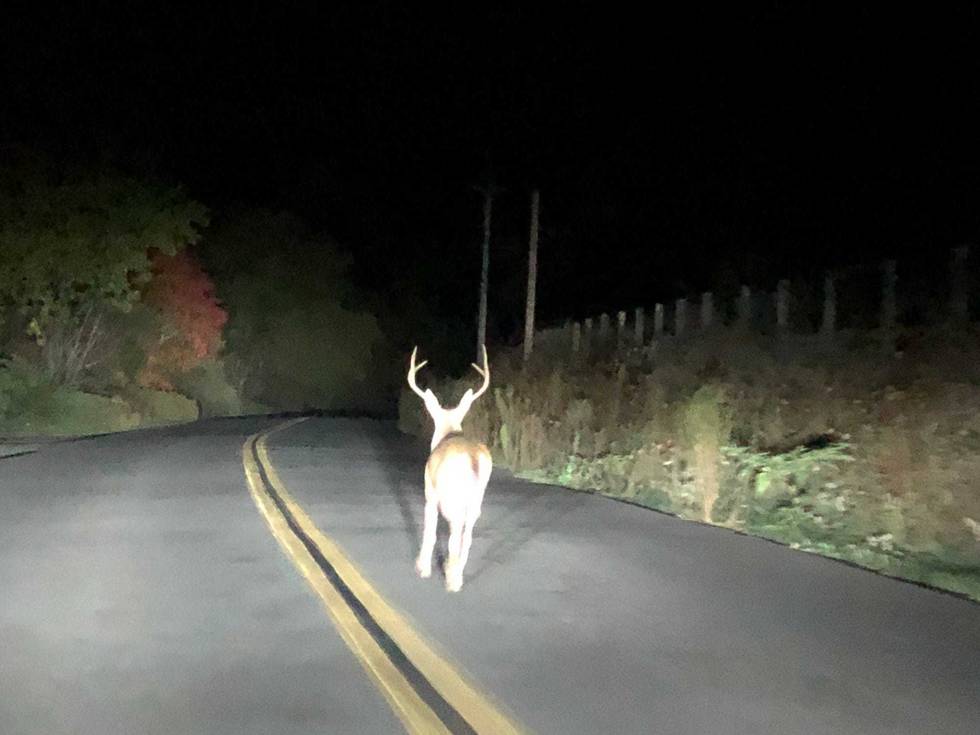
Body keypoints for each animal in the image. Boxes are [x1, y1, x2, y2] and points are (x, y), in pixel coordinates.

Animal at [407, 345, 492, 592]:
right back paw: (457, 575)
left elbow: (430, 531)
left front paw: (422, 568)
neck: (450, 432)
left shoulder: (430, 492)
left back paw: (451, 579)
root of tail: (472, 458)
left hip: (453, 496)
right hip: (477, 496)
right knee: (468, 535)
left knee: (456, 533)